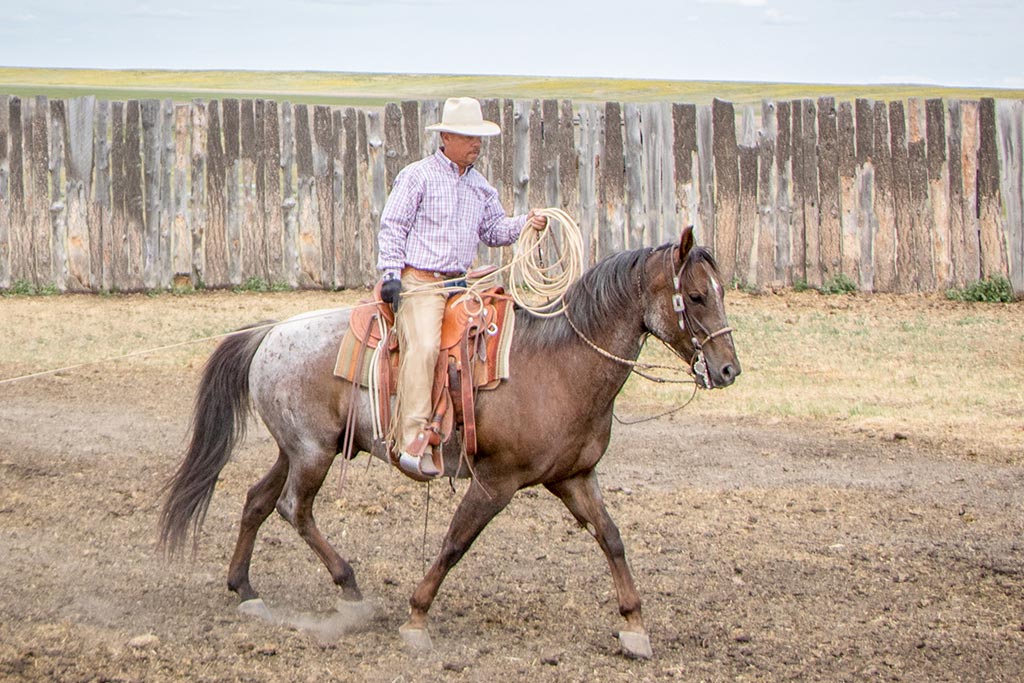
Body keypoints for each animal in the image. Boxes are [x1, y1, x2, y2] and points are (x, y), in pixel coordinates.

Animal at [157, 227, 737, 659]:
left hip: (298, 449)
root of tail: (272, 331)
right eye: (696, 296)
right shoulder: (496, 481)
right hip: (312, 454)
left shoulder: (573, 477)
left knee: (258, 500)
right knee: (293, 508)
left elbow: (611, 538)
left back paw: (246, 590)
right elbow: (456, 542)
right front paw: (416, 618)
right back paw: (350, 590)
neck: (561, 364)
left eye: (721, 292)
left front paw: (635, 627)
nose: (729, 369)